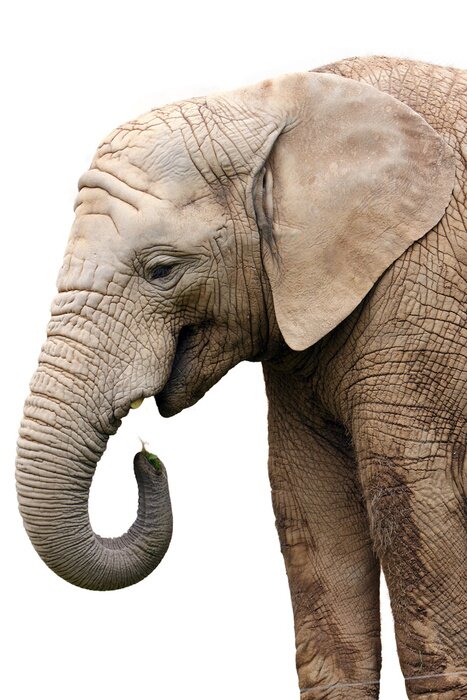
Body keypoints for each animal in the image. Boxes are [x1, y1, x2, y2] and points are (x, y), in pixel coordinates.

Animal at [16, 55, 466, 699]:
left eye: (162, 270)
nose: (146, 457)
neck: (276, 107)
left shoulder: (425, 296)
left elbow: (410, 494)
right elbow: (311, 501)